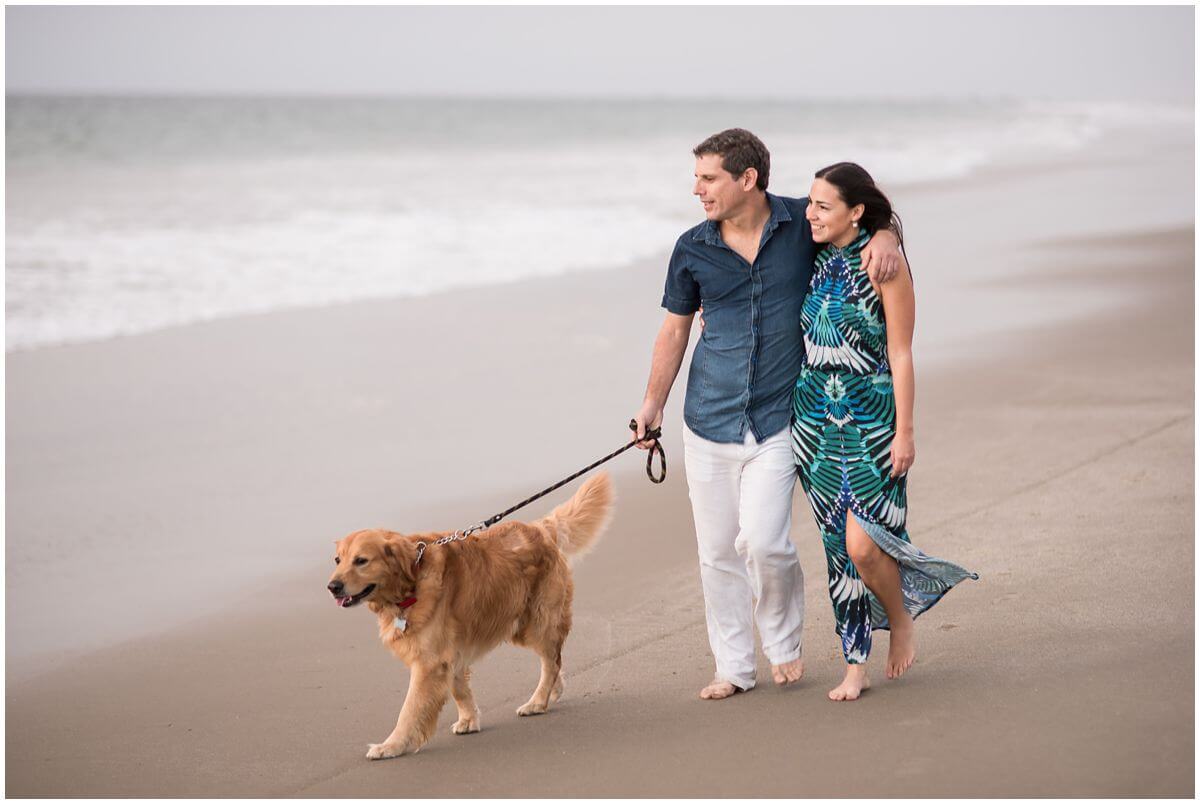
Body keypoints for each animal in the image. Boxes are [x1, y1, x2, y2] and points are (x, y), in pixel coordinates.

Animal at [328, 472, 614, 763]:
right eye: (338, 560)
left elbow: (409, 709)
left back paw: (538, 701)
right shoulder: (450, 651)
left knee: (552, 661)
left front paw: (392, 745)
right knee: (554, 661)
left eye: (361, 560)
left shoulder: (429, 661)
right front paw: (469, 719)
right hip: (520, 625)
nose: (332, 587)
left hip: (537, 620)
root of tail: (540, 529)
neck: (411, 582)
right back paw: (553, 691)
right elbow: (458, 688)